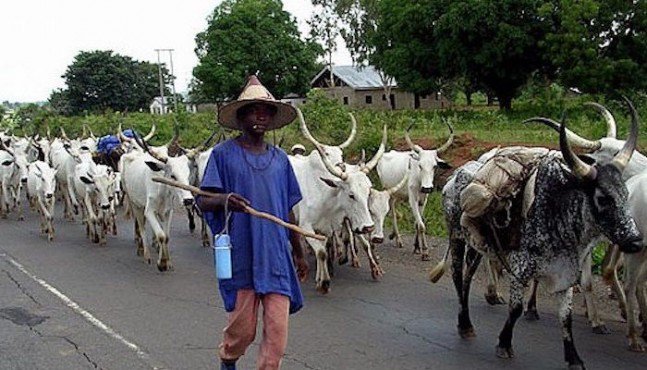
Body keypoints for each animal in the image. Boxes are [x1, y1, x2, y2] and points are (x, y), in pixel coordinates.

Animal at [378, 120, 454, 258]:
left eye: (435, 166)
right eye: (420, 165)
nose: (427, 188)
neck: (419, 180)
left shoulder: (423, 199)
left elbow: (418, 223)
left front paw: (417, 246)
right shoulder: (412, 198)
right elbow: (421, 225)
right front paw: (425, 250)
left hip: (398, 194)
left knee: (394, 207)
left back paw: (393, 235)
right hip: (388, 190)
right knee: (392, 211)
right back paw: (397, 238)